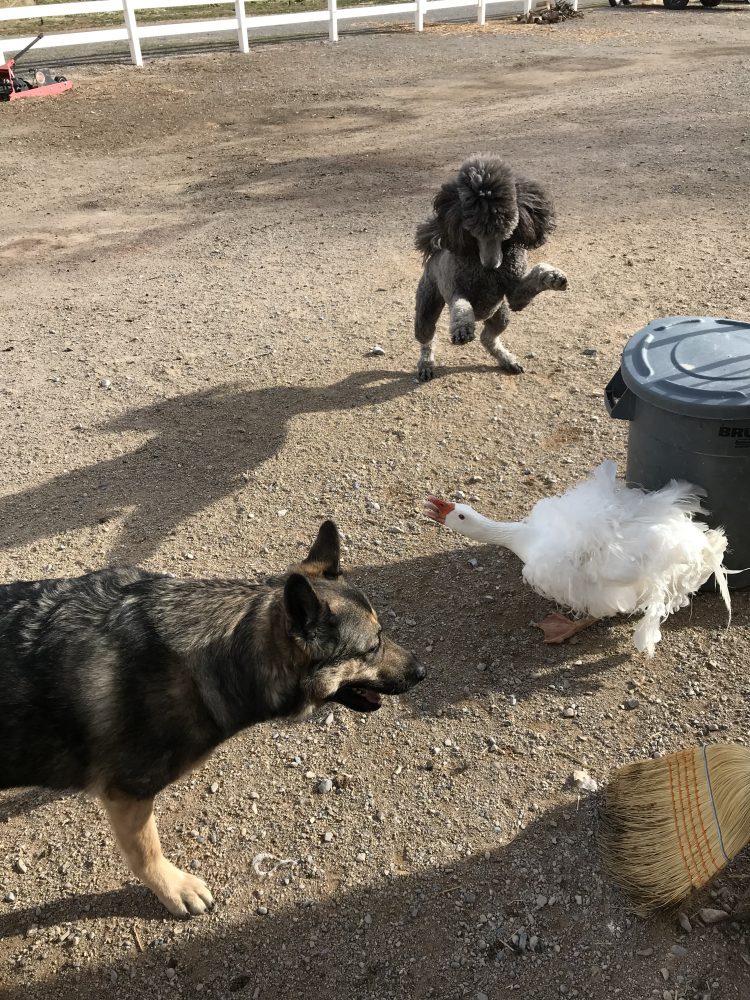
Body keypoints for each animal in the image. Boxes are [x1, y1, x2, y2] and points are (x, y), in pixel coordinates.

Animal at [0, 521, 425, 917]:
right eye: (372, 647)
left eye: (382, 634)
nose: (422, 671)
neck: (219, 648)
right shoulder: (128, 794)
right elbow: (146, 851)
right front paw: (174, 888)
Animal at [414, 155, 568, 381]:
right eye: (473, 230)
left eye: (506, 228)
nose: (491, 264)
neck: (488, 275)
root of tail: (437, 248)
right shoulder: (455, 290)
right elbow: (461, 306)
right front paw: (462, 329)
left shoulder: (515, 295)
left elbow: (535, 276)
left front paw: (553, 277)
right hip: (427, 307)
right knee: (426, 339)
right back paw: (426, 364)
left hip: (501, 315)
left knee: (487, 338)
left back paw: (507, 359)